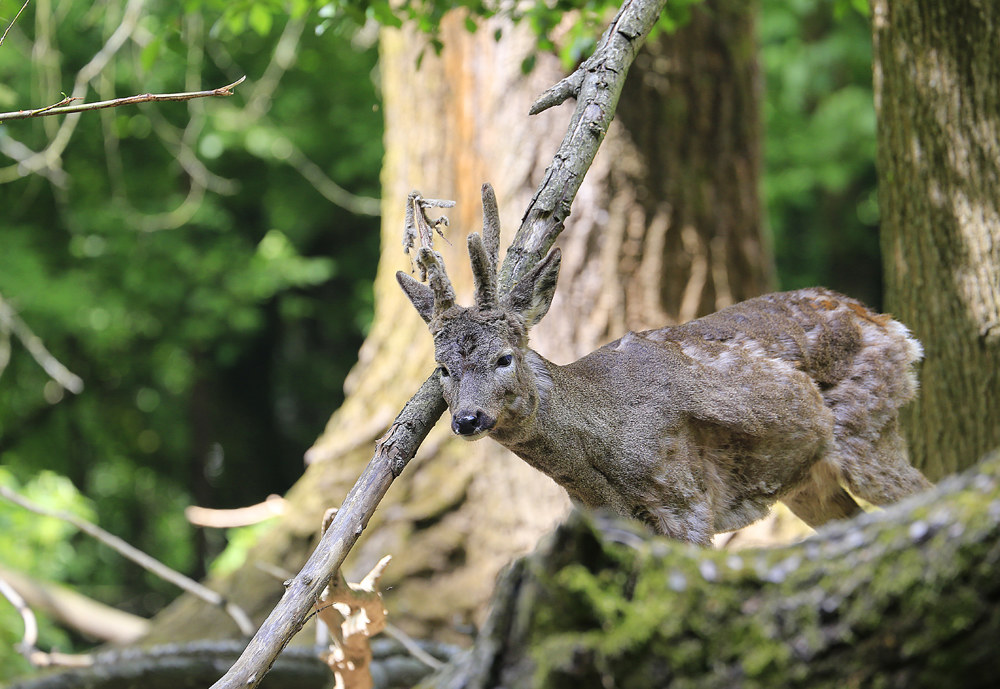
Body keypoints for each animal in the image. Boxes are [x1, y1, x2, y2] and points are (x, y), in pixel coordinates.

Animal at [396, 185, 932, 546]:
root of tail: (896, 331)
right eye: (443, 369)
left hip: (867, 430)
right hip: (808, 480)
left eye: (505, 357)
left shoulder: (686, 506)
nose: (468, 419)